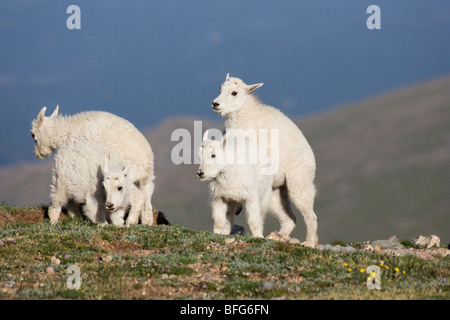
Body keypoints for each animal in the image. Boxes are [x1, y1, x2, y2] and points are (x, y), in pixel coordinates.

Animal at [213, 75, 318, 248]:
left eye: (234, 92)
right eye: (220, 88)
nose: (215, 104)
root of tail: (312, 161)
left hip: (298, 182)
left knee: (310, 214)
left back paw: (309, 242)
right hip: (277, 192)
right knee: (289, 219)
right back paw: (279, 236)